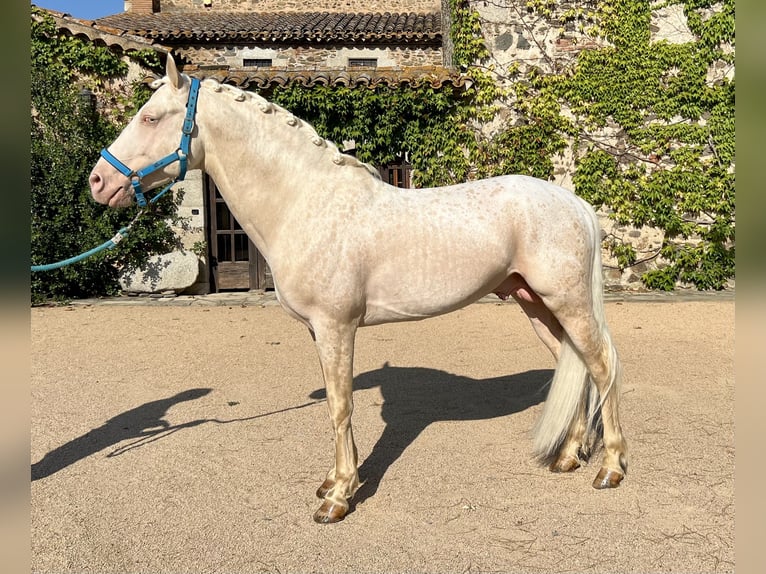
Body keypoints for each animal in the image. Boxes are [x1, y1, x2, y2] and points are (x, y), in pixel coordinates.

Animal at [89, 55, 627, 523]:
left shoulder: (337, 326)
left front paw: (338, 499)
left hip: (567, 303)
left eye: (150, 117)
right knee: (576, 365)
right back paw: (568, 457)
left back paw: (610, 468)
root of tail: (574, 203)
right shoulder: (319, 331)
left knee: (602, 364)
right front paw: (332, 482)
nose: (97, 181)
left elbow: (340, 404)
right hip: (534, 304)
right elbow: (334, 400)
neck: (306, 201)